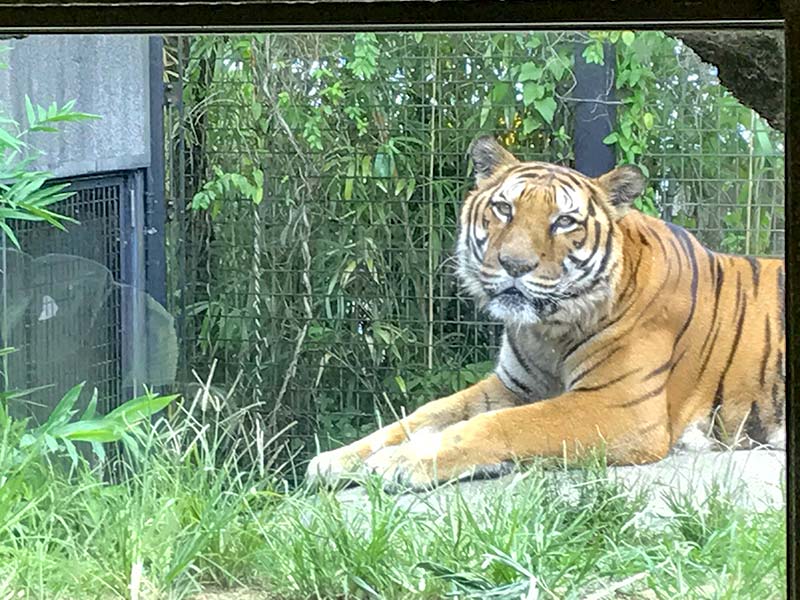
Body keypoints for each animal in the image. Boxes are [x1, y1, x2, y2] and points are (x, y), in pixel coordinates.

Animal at [306, 134, 788, 490]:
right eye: (504, 209)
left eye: (564, 221)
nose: (514, 265)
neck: (547, 330)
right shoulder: (511, 385)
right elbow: (420, 416)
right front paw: (336, 459)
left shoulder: (619, 407)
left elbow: (501, 425)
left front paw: (402, 463)